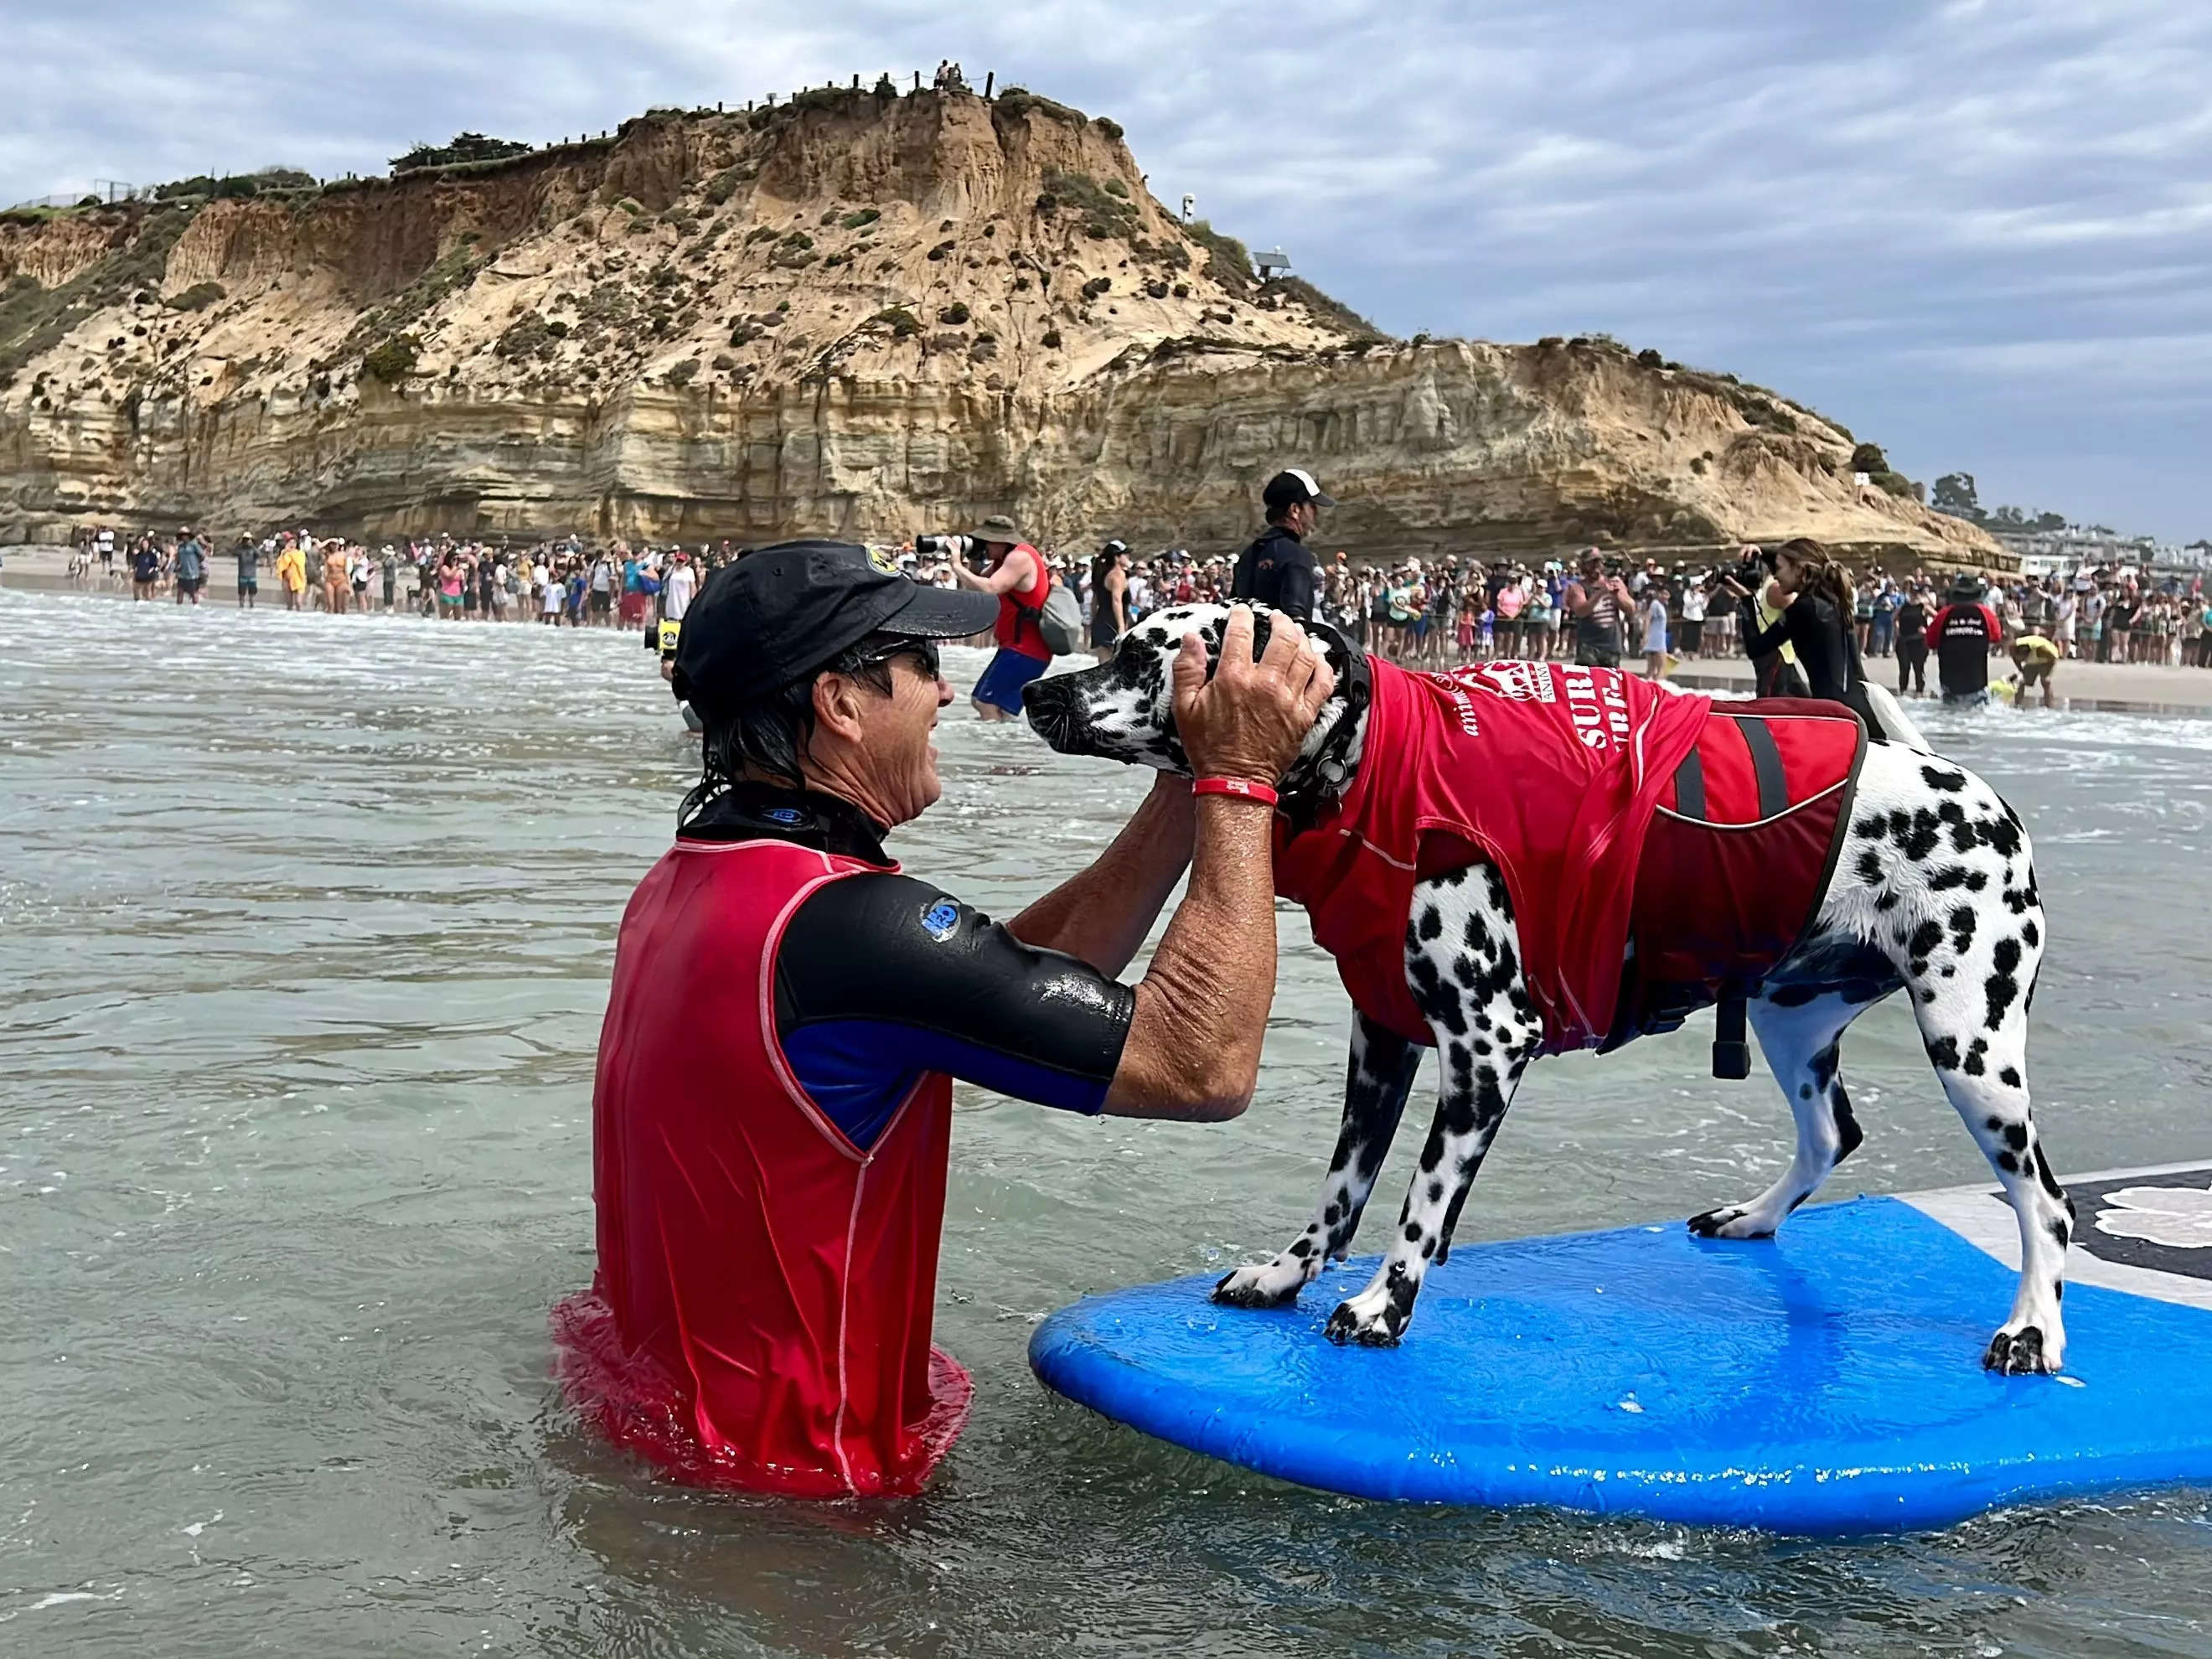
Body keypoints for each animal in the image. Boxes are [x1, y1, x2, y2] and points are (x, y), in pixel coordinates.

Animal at [1017, 606, 2070, 1380]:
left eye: (1139, 653)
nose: (1032, 687)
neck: (1374, 757)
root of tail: (1980, 796)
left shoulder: (1488, 1046)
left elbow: (1419, 1203)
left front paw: (1383, 1305)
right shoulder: (1383, 1044)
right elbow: (1342, 1192)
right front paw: (1287, 1275)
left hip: (1972, 1052)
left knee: (2046, 1205)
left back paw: (2032, 1331)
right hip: (1791, 1028)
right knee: (1829, 1137)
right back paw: (1755, 1219)